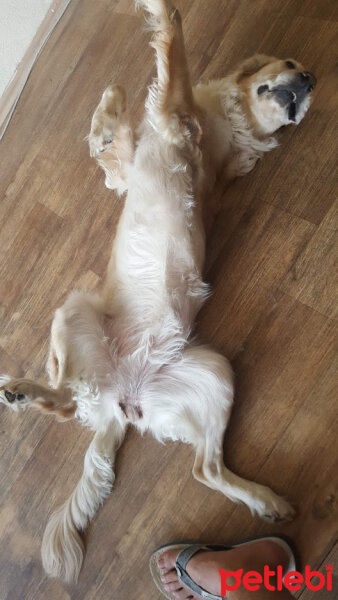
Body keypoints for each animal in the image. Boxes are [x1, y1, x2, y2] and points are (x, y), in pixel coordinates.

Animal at [1, 0, 316, 584]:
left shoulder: (175, 113)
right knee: (201, 467)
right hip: (201, 372)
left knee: (72, 407)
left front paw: (158, 15)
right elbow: (113, 135)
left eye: (303, 74)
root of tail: (117, 399)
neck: (231, 127)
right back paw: (267, 501)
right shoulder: (135, 161)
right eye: (290, 63)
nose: (309, 80)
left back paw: (23, 392)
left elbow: (172, 45)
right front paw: (108, 108)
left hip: (161, 347)